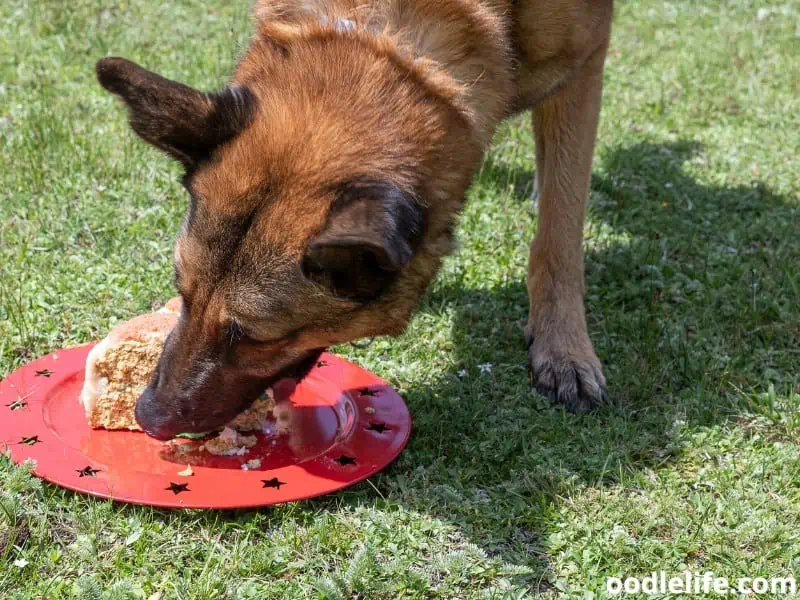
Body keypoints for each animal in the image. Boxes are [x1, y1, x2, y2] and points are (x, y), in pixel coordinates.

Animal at [97, 0, 616, 440]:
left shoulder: (584, 67)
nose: (148, 417)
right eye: (182, 294)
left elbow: (559, 230)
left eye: (256, 337)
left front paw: (563, 347)